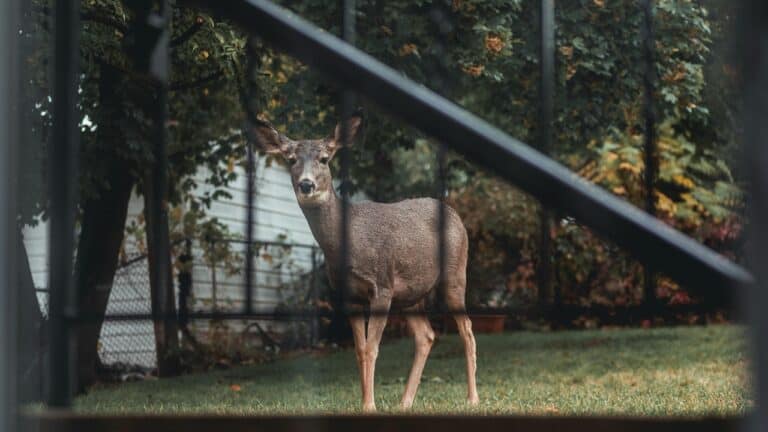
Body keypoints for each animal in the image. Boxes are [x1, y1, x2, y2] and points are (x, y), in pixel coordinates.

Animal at [251, 112, 478, 412]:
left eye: (324, 158)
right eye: (290, 159)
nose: (306, 184)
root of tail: (456, 216)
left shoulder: (381, 285)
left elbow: (371, 348)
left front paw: (369, 406)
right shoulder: (350, 295)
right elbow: (359, 349)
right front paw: (365, 402)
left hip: (455, 273)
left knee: (467, 329)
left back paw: (472, 398)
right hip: (411, 294)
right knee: (426, 335)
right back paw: (405, 402)